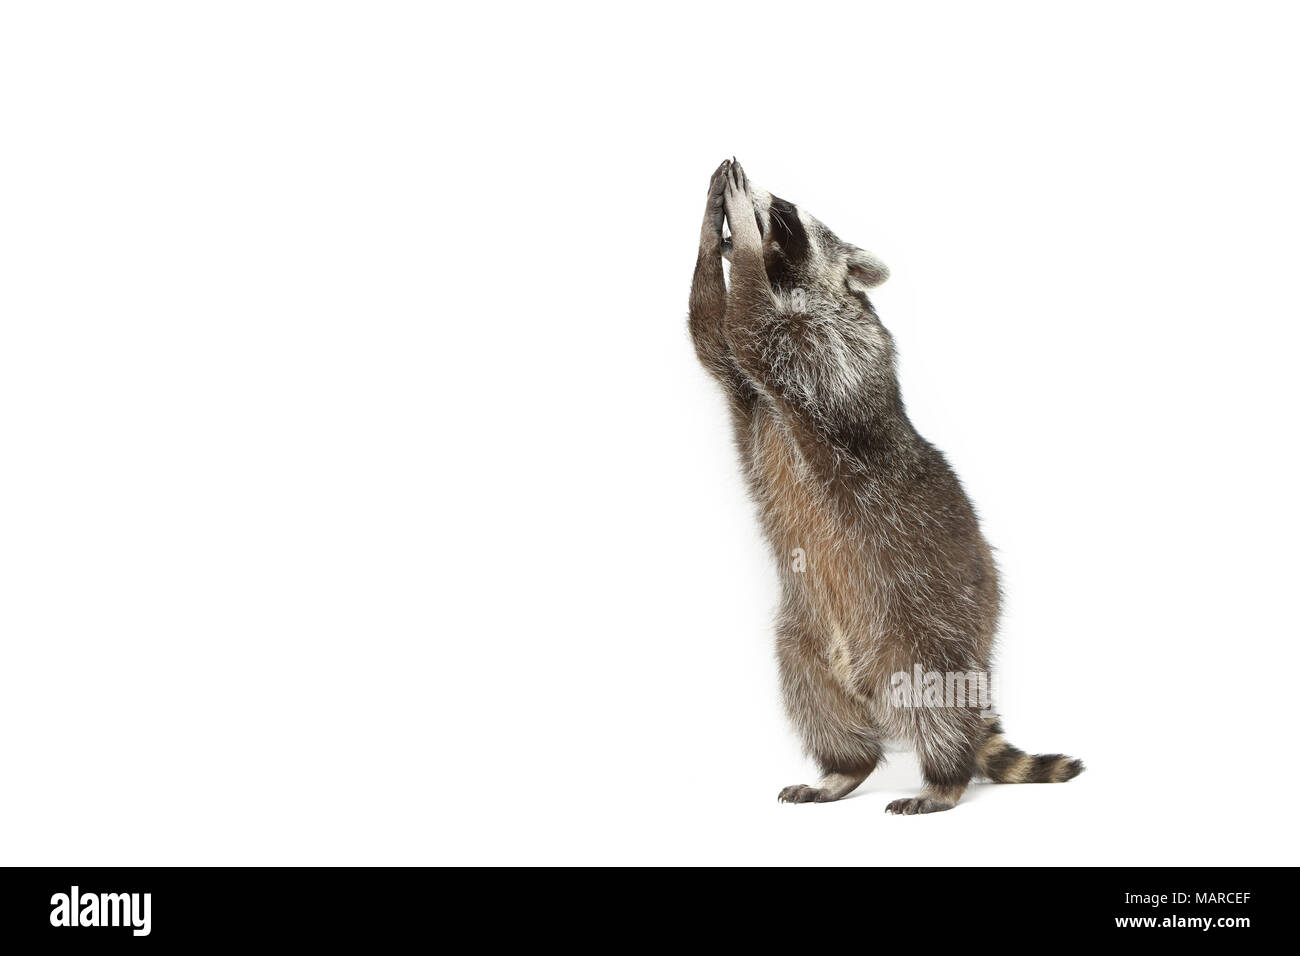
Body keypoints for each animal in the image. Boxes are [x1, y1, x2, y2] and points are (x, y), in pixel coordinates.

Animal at [686, 158, 1081, 816]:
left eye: (788, 212)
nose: (762, 203)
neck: (798, 288)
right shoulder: (754, 382)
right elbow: (711, 333)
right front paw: (711, 220)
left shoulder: (838, 352)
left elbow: (751, 328)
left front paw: (740, 232)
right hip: (805, 638)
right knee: (813, 698)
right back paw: (846, 767)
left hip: (930, 623)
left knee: (939, 703)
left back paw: (945, 776)